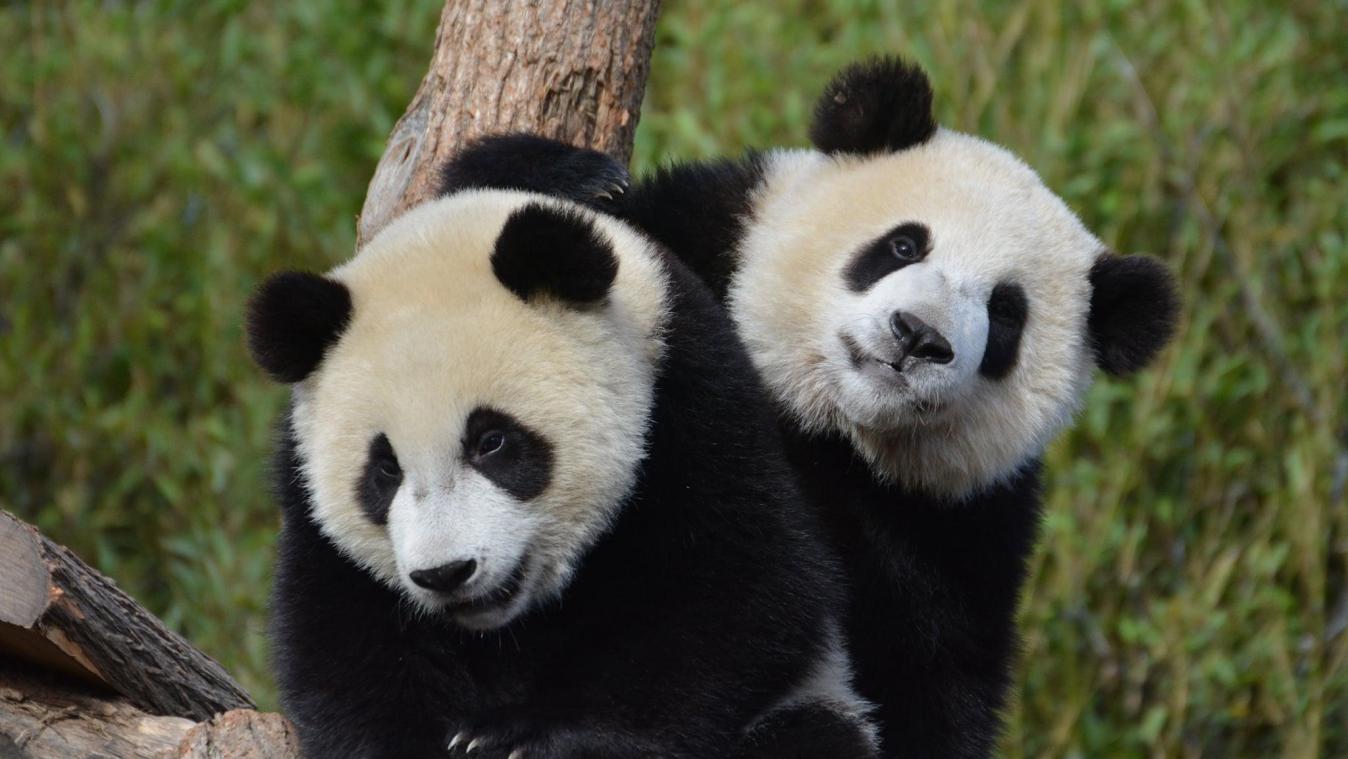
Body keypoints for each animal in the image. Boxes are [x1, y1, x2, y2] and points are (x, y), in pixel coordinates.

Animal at [247, 154, 879, 758]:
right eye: (385, 469)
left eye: (493, 442)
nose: (446, 573)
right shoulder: (307, 505)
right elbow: (342, 646)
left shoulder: (691, 398)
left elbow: (738, 589)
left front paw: (518, 737)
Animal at [447, 57, 1180, 757]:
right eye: (904, 245)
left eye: (1005, 314)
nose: (918, 336)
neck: (823, 419)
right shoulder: (699, 239)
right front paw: (578, 179)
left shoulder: (960, 533)